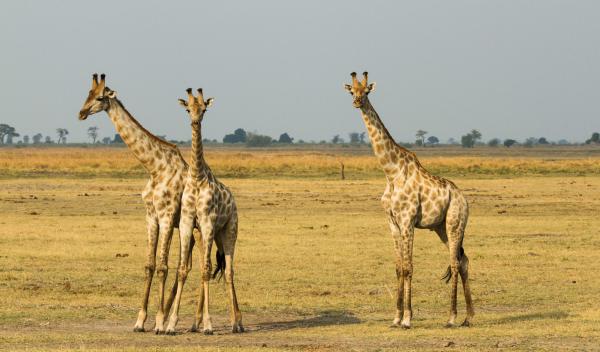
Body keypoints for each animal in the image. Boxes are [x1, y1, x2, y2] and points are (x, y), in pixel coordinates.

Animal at [164, 88, 244, 336]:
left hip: (229, 230)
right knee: (213, 268)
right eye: (188, 109)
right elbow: (183, 269)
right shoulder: (188, 221)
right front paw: (171, 324)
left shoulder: (208, 221)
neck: (197, 176)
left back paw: (237, 323)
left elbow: (207, 270)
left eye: (204, 109)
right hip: (210, 234)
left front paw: (208, 325)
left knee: (229, 271)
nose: (195, 121)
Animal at [344, 71, 476, 330]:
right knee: (463, 260)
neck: (391, 172)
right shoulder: (393, 223)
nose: (356, 102)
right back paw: (468, 317)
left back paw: (452, 317)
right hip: (440, 228)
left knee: (455, 263)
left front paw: (407, 318)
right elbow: (398, 268)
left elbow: (408, 267)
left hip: (454, 223)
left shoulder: (407, 221)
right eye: (352, 91)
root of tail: (463, 199)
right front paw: (396, 317)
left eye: (367, 91)